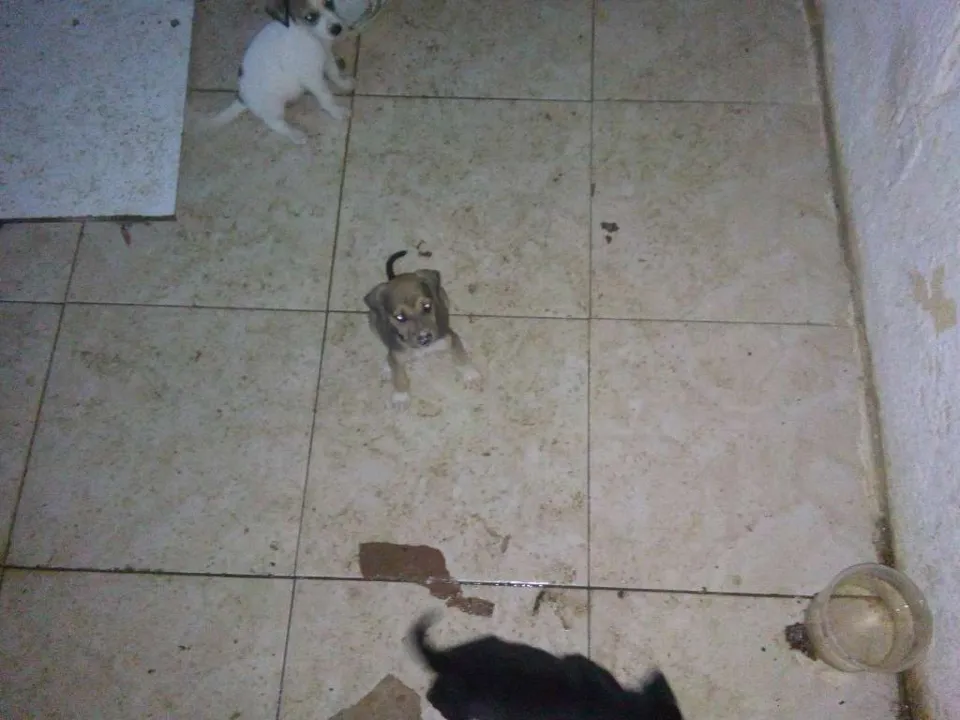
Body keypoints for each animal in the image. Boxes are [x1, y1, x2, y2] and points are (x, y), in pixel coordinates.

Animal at [202, 0, 353, 144]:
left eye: (329, 3)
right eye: (310, 17)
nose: (337, 29)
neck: (310, 35)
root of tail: (242, 98)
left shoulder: (327, 55)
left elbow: (334, 73)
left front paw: (345, 84)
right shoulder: (311, 77)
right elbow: (326, 96)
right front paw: (337, 111)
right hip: (273, 106)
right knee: (275, 123)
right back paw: (295, 135)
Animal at [364, 251, 481, 409]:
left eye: (427, 307)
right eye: (400, 317)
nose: (425, 338)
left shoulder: (446, 337)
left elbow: (459, 356)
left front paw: (470, 374)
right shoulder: (397, 354)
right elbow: (399, 375)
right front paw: (401, 396)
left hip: (443, 297)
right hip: (372, 320)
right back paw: (386, 366)